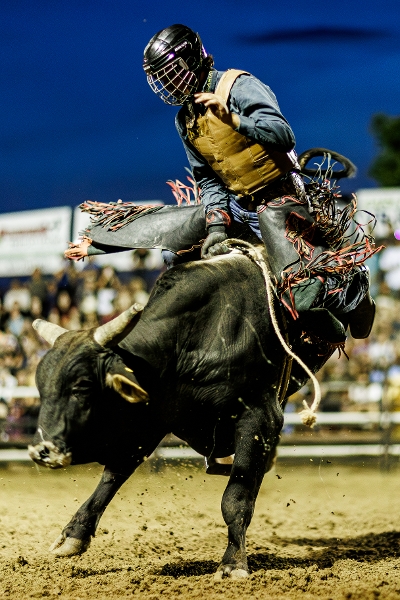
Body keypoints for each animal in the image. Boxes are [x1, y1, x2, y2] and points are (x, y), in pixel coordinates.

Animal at [29, 249, 344, 579]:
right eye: (41, 386)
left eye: (82, 386)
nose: (42, 450)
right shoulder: (151, 420)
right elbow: (113, 476)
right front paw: (73, 535)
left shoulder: (260, 417)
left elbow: (236, 498)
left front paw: (233, 563)